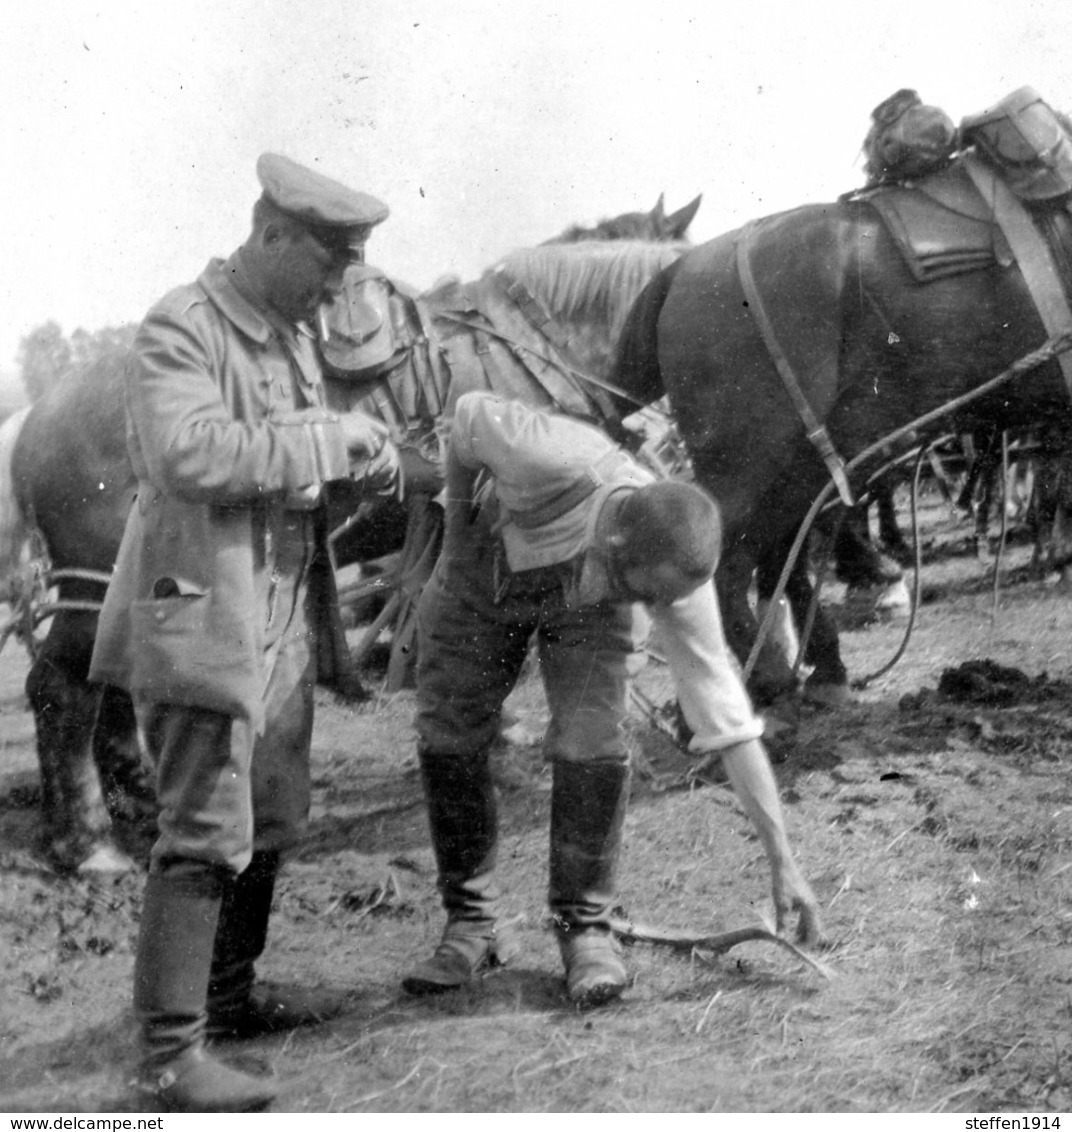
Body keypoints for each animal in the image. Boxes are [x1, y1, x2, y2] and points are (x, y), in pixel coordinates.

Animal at [0, 234, 688, 869]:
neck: (532, 345)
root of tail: (35, 419)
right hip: (98, 585)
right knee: (61, 689)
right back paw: (84, 843)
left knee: (109, 686)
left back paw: (138, 804)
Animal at [611, 159, 1072, 706]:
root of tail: (684, 270)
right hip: (746, 458)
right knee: (729, 557)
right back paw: (766, 677)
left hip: (795, 460)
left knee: (776, 551)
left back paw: (815, 667)